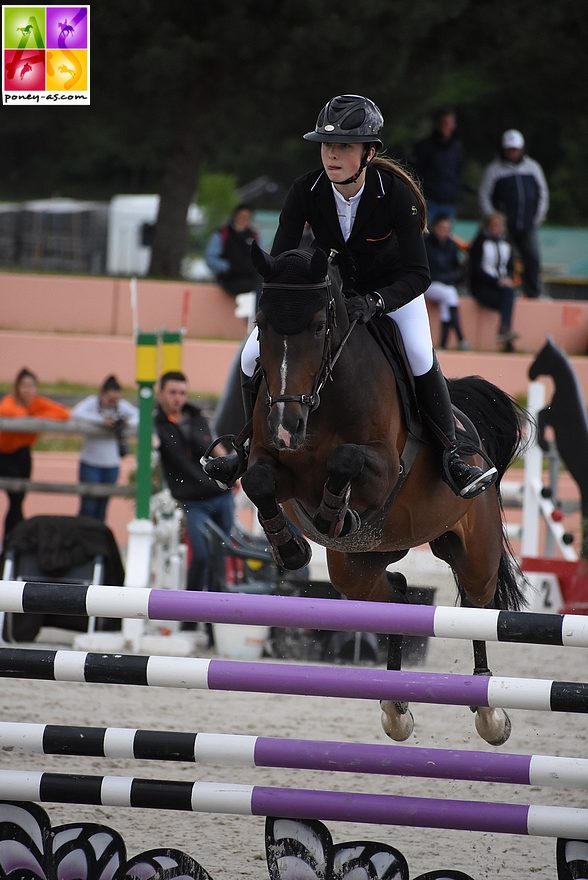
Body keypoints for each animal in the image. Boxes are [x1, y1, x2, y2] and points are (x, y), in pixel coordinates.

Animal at [240, 244, 528, 744]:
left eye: (319, 325)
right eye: (262, 322)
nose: (286, 427)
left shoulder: (381, 470)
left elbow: (346, 461)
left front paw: (335, 514)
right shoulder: (271, 461)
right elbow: (256, 482)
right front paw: (290, 546)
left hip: (475, 550)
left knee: (478, 606)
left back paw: (489, 713)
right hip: (356, 567)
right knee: (394, 599)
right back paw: (395, 706)